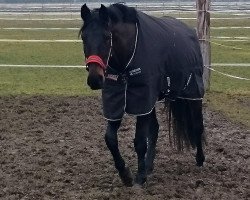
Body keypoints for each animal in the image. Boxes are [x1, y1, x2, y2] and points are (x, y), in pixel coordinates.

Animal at [80, 3, 205, 187]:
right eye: (84, 37)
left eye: (107, 37)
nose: (95, 79)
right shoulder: (118, 101)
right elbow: (110, 139)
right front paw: (125, 174)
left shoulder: (142, 99)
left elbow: (139, 141)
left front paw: (139, 177)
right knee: (155, 130)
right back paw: (148, 166)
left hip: (192, 93)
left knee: (197, 126)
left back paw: (200, 160)